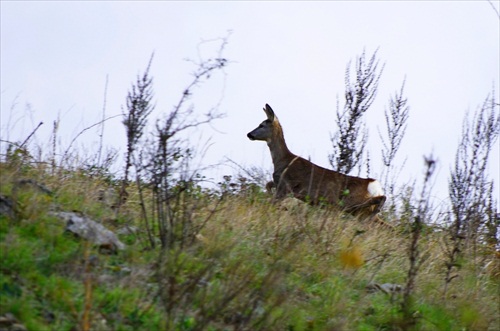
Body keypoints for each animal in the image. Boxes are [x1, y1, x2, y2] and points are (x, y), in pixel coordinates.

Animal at [248, 105, 388, 227]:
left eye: (261, 125)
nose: (249, 134)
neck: (283, 160)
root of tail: (372, 184)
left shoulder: (285, 187)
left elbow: (270, 201)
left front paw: (282, 208)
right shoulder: (280, 185)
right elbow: (268, 185)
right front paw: (283, 207)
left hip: (351, 202)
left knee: (381, 199)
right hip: (360, 211)